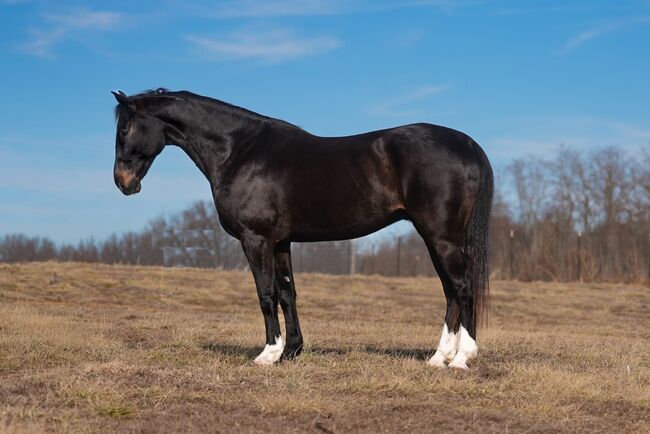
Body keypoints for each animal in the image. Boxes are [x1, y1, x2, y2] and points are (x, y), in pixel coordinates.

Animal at [111, 88, 493, 369]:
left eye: (125, 128)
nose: (123, 183)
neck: (239, 151)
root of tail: (467, 143)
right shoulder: (281, 242)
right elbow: (287, 293)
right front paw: (291, 351)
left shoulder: (256, 240)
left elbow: (265, 294)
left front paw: (267, 354)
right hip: (435, 238)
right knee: (450, 291)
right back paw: (438, 357)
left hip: (441, 237)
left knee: (462, 288)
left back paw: (462, 358)